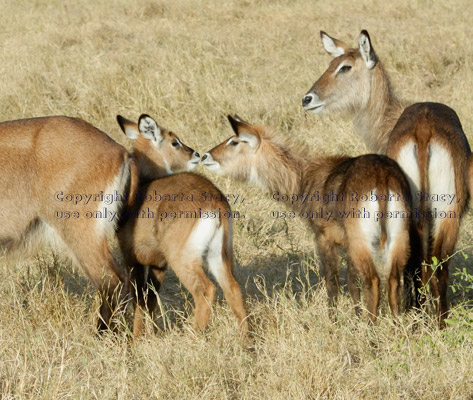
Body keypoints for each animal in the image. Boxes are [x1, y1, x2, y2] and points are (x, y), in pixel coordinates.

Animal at [115, 115, 247, 338]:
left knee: (206, 290)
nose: (197, 154)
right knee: (233, 288)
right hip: (217, 255)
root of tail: (215, 200)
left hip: (183, 258)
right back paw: (246, 339)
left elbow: (139, 299)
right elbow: (150, 299)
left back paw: (195, 335)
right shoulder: (158, 263)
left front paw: (137, 338)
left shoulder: (132, 259)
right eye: (175, 142)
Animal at [201, 115, 412, 322]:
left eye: (234, 141)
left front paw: (334, 320)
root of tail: (381, 175)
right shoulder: (346, 244)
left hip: (362, 240)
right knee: (393, 280)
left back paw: (370, 325)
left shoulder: (324, 237)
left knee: (373, 280)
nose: (205, 156)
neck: (305, 177)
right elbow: (352, 282)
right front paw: (355, 316)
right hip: (398, 236)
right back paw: (396, 323)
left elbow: (332, 280)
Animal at [300, 30, 470, 324]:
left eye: (345, 67)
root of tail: (424, 130)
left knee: (422, 264)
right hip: (447, 213)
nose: (307, 99)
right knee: (436, 264)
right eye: (331, 63)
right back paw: (437, 321)